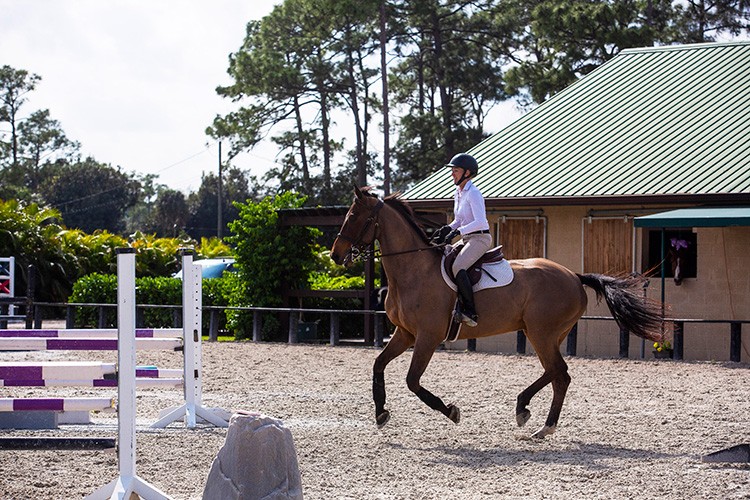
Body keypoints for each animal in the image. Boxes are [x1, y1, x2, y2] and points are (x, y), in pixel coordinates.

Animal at [332, 187, 668, 438]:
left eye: (353, 216)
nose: (335, 255)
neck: (413, 270)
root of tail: (574, 275)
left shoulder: (427, 337)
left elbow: (413, 382)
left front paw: (451, 411)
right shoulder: (405, 334)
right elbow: (378, 365)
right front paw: (380, 413)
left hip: (541, 332)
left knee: (559, 372)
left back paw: (539, 422)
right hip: (543, 333)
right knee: (556, 372)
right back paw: (529, 413)